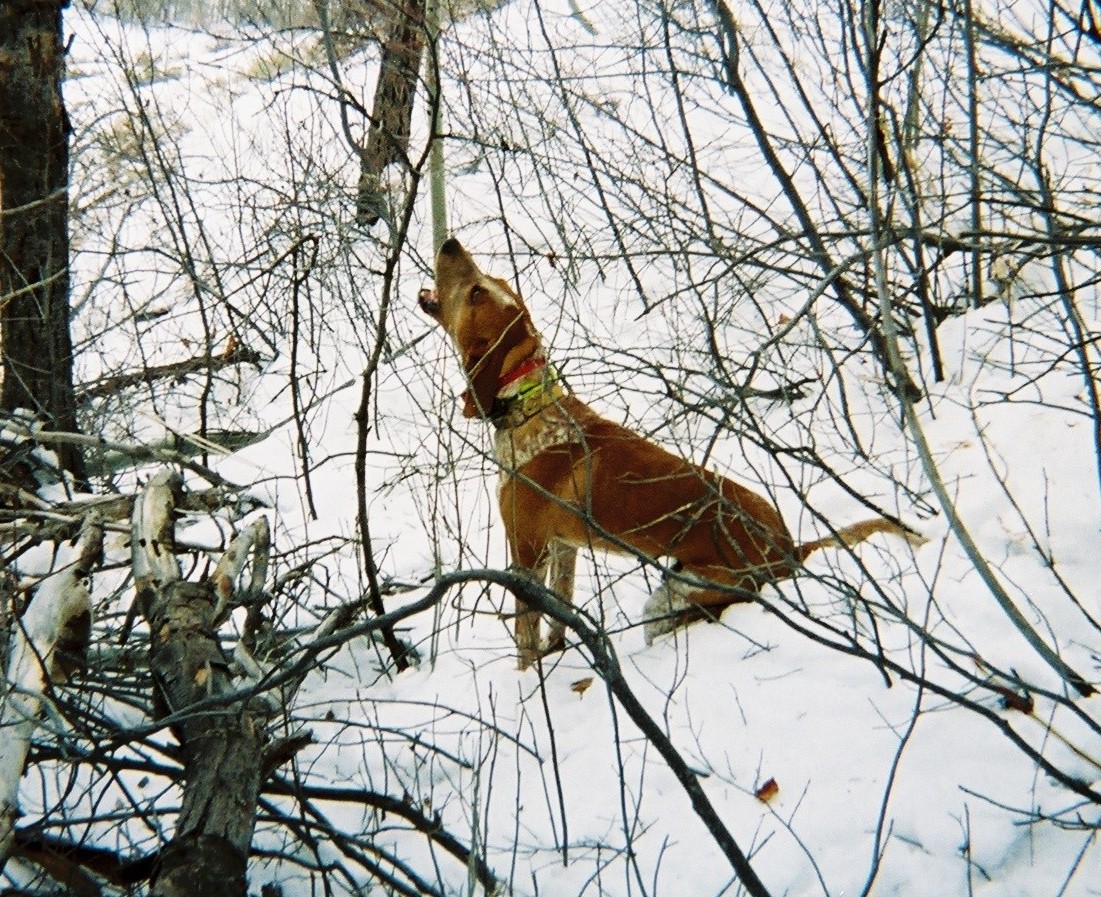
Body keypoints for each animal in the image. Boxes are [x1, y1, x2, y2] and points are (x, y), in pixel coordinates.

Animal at [420, 238, 917, 669]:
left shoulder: (527, 555)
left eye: (478, 289)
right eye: (490, 279)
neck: (530, 405)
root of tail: (791, 548)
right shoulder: (563, 549)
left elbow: (525, 642)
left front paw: (528, 685)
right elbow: (558, 623)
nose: (449, 243)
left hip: (675, 594)